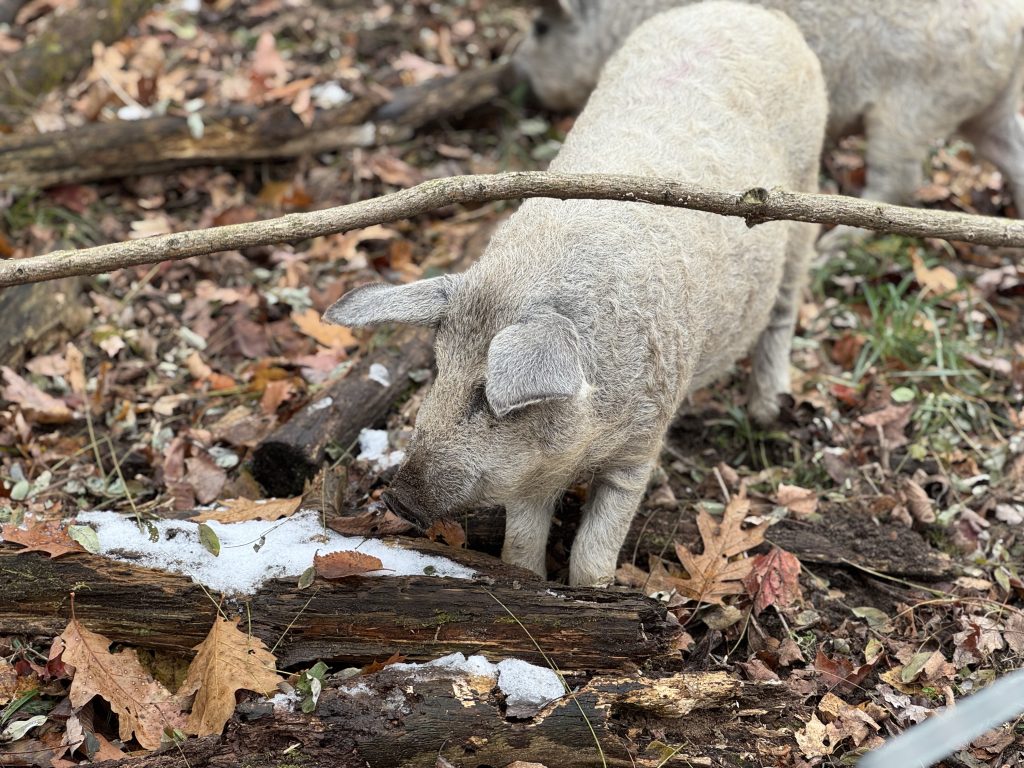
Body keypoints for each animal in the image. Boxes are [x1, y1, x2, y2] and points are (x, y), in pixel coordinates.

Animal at [324, 2, 828, 586]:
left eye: (486, 395)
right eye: (438, 369)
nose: (396, 499)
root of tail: (750, 13)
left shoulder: (642, 444)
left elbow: (595, 550)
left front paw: (599, 590)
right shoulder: (531, 472)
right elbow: (520, 544)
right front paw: (530, 578)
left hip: (802, 205)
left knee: (783, 312)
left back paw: (768, 411)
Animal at [515, 0, 1024, 217]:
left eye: (540, 28)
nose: (510, 71)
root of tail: (1012, 25)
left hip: (912, 108)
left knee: (898, 183)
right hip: (986, 106)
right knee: (1013, 154)